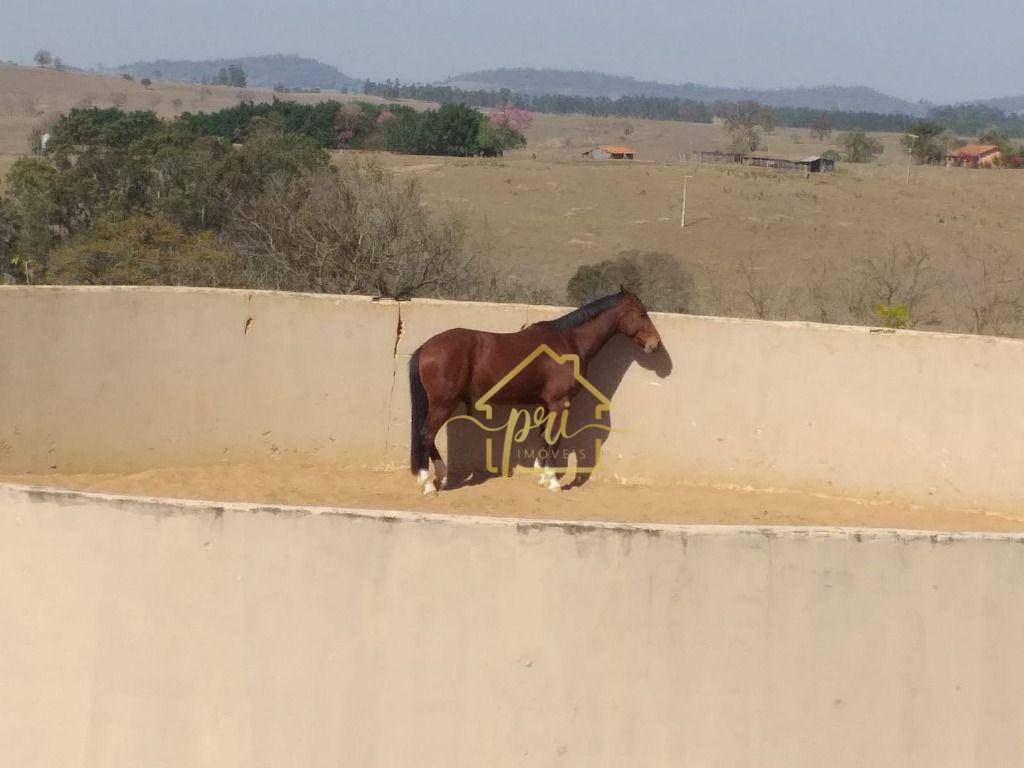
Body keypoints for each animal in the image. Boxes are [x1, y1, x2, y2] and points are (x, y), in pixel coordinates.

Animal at [407, 288, 663, 493]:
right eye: (641, 313)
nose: (656, 344)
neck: (568, 342)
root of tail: (426, 348)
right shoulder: (560, 403)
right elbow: (555, 438)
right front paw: (553, 482)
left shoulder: (546, 404)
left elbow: (544, 437)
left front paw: (542, 476)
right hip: (443, 404)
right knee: (426, 435)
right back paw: (428, 484)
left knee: (427, 437)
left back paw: (440, 477)